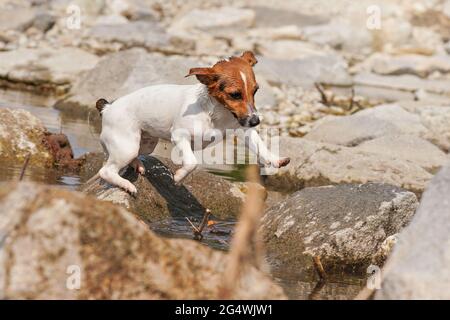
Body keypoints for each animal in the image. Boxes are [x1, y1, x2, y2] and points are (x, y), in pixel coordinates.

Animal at [96, 51, 290, 194]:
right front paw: (179, 177)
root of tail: (108, 108)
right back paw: (127, 185)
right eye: (235, 94)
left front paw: (275, 160)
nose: (256, 121)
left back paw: (137, 165)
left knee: (131, 158)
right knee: (105, 171)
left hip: (145, 144)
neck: (217, 113)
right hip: (127, 146)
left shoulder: (243, 129)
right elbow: (191, 162)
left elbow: (261, 146)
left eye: (255, 91)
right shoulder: (179, 136)